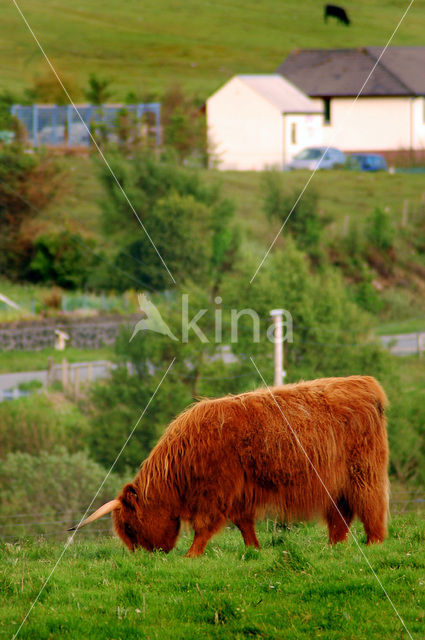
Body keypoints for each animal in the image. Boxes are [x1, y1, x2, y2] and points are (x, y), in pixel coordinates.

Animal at [70, 376, 388, 556]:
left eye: (129, 526)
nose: (146, 556)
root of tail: (365, 383)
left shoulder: (215, 491)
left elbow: (204, 527)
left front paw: (191, 555)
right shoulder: (239, 493)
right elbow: (244, 523)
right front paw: (254, 549)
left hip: (363, 472)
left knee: (371, 506)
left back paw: (374, 544)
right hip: (338, 483)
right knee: (341, 514)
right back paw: (333, 546)